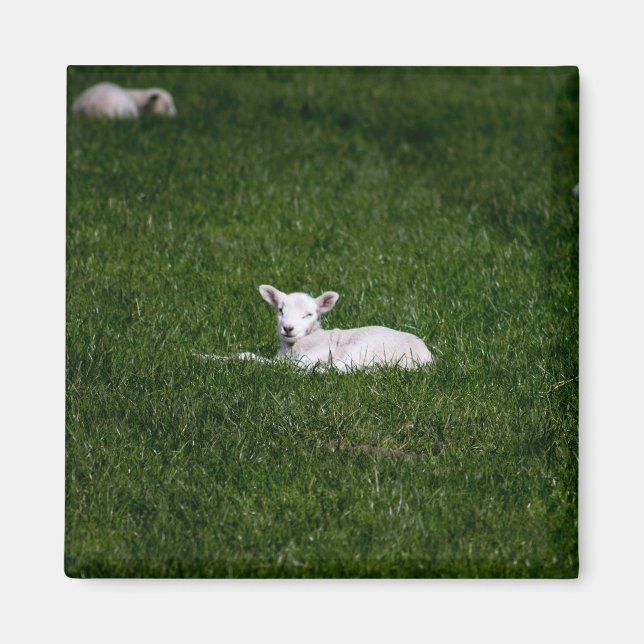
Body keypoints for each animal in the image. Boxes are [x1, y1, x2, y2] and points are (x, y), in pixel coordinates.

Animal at [255, 285, 434, 371]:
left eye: (308, 314)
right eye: (280, 310)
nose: (288, 328)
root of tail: (423, 358)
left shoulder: (321, 350)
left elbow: (295, 362)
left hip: (364, 347)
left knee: (339, 368)